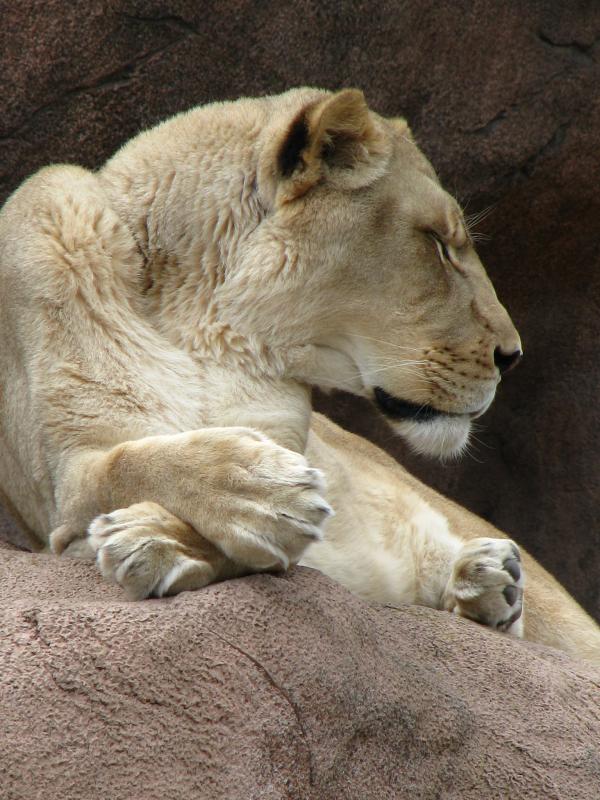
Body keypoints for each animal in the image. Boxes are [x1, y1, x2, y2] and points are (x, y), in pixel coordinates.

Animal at [0, 87, 598, 664]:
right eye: (436, 243)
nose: (512, 354)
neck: (199, 327)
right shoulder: (61, 493)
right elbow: (128, 464)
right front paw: (251, 495)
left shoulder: (281, 431)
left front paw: (162, 536)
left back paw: (490, 578)